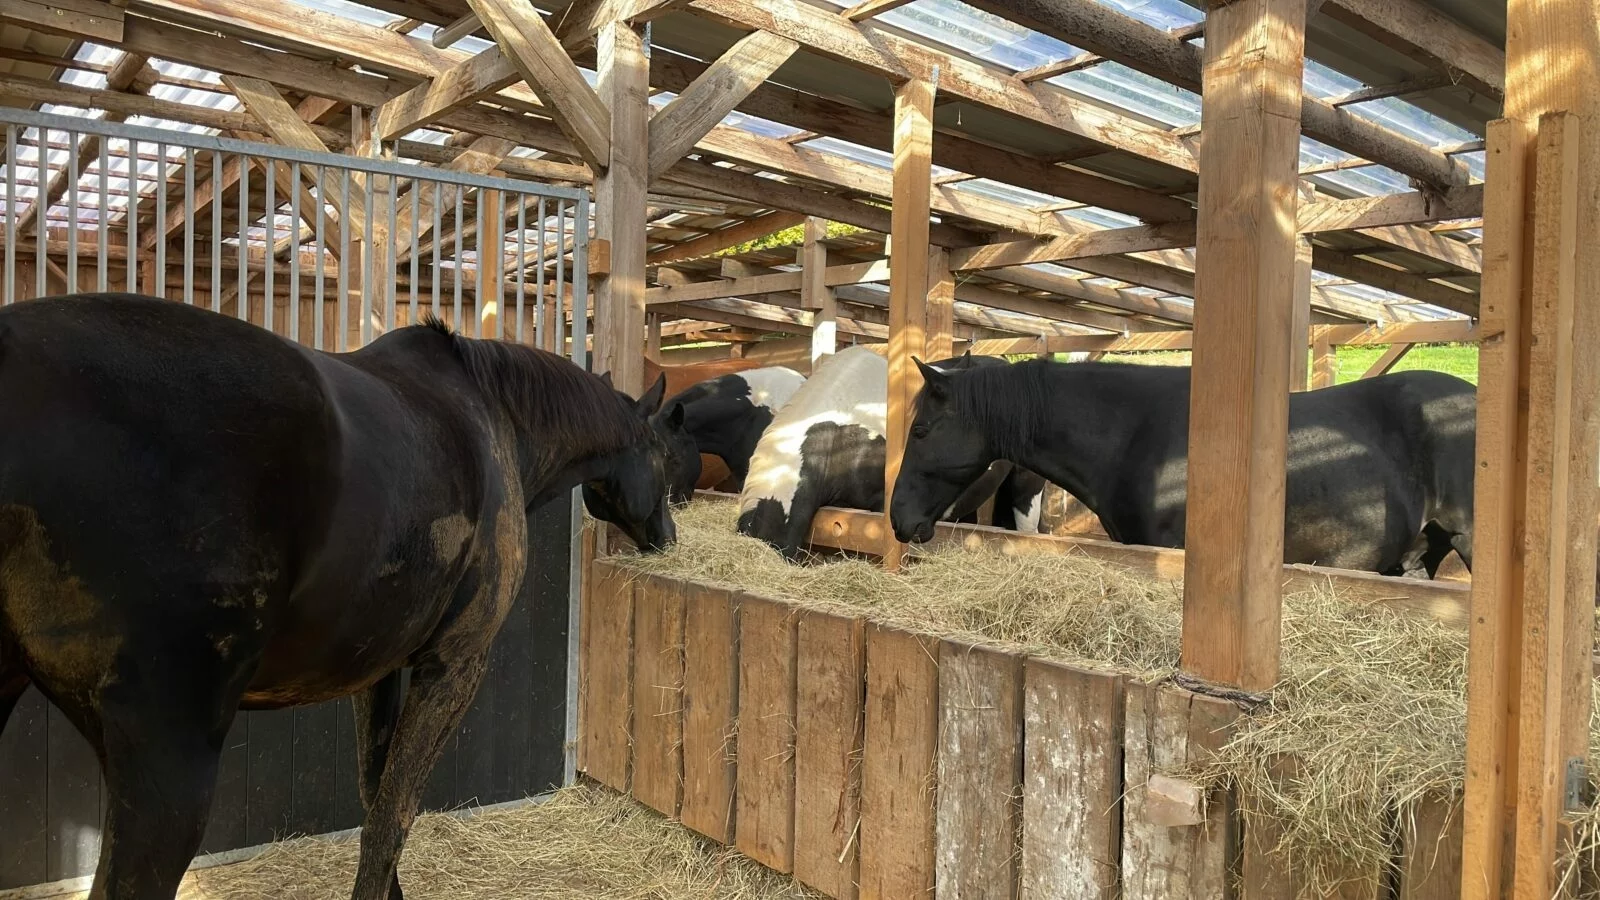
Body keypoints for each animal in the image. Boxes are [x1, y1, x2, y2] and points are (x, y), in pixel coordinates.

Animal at [0, 293, 676, 900]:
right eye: (663, 457)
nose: (667, 538)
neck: (495, 415)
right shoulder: (454, 667)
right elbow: (391, 819)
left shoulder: (376, 671)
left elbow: (374, 795)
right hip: (168, 765)